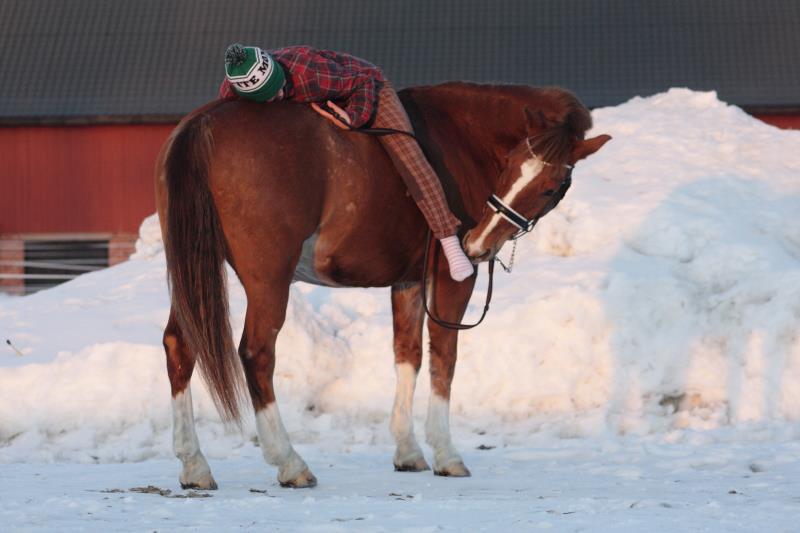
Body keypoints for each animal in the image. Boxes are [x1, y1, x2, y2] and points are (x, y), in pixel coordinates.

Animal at [155, 81, 608, 488]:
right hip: (268, 279)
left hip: (192, 266)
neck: (465, 138)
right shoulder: (451, 279)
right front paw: (446, 453)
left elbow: (408, 356)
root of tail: (203, 124)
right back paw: (288, 461)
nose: (477, 244)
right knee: (257, 353)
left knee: (180, 345)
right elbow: (444, 357)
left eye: (547, 186)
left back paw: (194, 465)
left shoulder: (408, 281)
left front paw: (408, 451)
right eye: (511, 164)